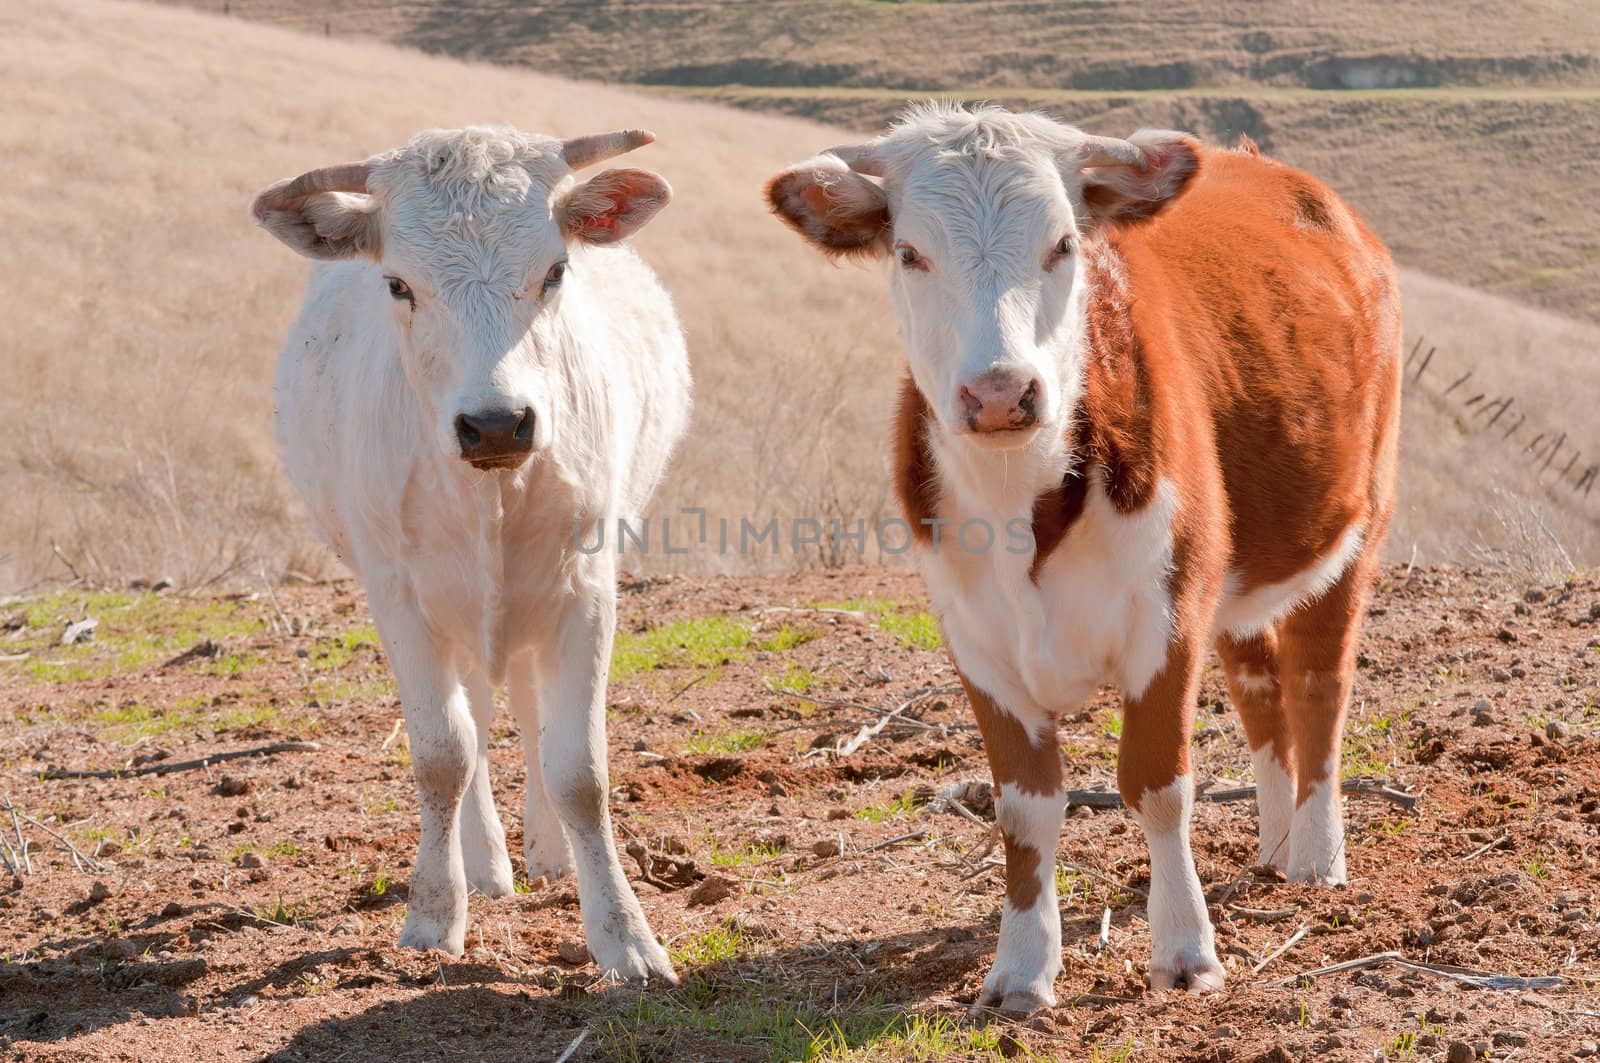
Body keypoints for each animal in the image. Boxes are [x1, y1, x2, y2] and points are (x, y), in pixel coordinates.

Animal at [252, 124, 691, 979]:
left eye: (555, 271)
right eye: (398, 284)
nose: (495, 424)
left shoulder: (588, 586)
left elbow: (579, 767)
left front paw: (623, 933)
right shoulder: (398, 596)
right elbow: (442, 754)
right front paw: (434, 911)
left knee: (525, 706)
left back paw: (547, 852)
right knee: (477, 722)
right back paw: (485, 862)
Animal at [761, 104, 1401, 1011]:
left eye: (1063, 244)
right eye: (910, 252)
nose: (999, 392)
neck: (1020, 505)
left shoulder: (1167, 619)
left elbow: (1157, 784)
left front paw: (1185, 950)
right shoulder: (978, 642)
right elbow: (1027, 806)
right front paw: (1022, 969)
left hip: (1356, 523)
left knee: (1319, 683)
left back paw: (1316, 854)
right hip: (1236, 573)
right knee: (1260, 689)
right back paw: (1276, 847)